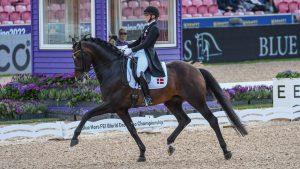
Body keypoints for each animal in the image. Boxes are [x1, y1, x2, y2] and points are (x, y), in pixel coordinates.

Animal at [71, 36, 248, 162]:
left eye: (78, 57)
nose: (79, 78)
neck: (112, 68)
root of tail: (195, 69)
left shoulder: (112, 105)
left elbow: (86, 114)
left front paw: (74, 139)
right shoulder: (121, 109)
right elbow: (132, 130)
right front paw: (142, 154)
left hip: (196, 100)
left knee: (212, 120)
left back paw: (226, 152)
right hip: (172, 101)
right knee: (184, 120)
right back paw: (170, 145)